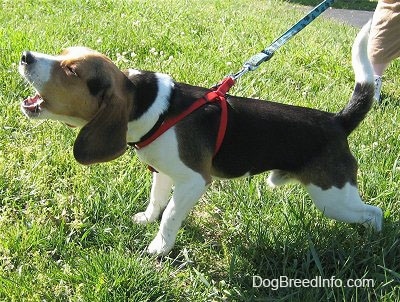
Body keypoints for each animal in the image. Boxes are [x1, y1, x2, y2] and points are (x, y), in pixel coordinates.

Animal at [18, 23, 382, 258]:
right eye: (62, 53)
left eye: (72, 72)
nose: (25, 56)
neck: (152, 107)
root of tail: (337, 121)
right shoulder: (164, 172)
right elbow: (157, 201)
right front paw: (146, 219)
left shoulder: (194, 181)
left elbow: (170, 215)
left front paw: (159, 248)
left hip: (333, 198)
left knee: (373, 212)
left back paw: (373, 240)